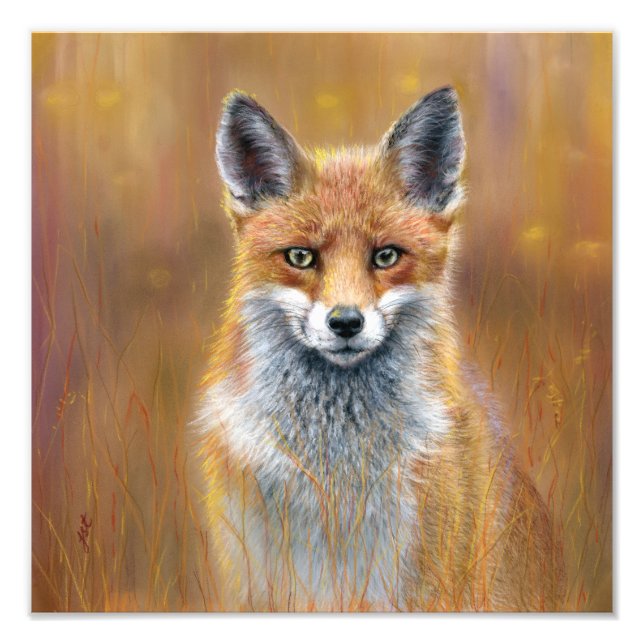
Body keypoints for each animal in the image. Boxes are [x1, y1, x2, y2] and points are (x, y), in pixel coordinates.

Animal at [193, 86, 565, 612]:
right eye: (300, 256)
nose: (346, 322)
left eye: (386, 255)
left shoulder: (420, 582)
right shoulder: (256, 576)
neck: (335, 467)